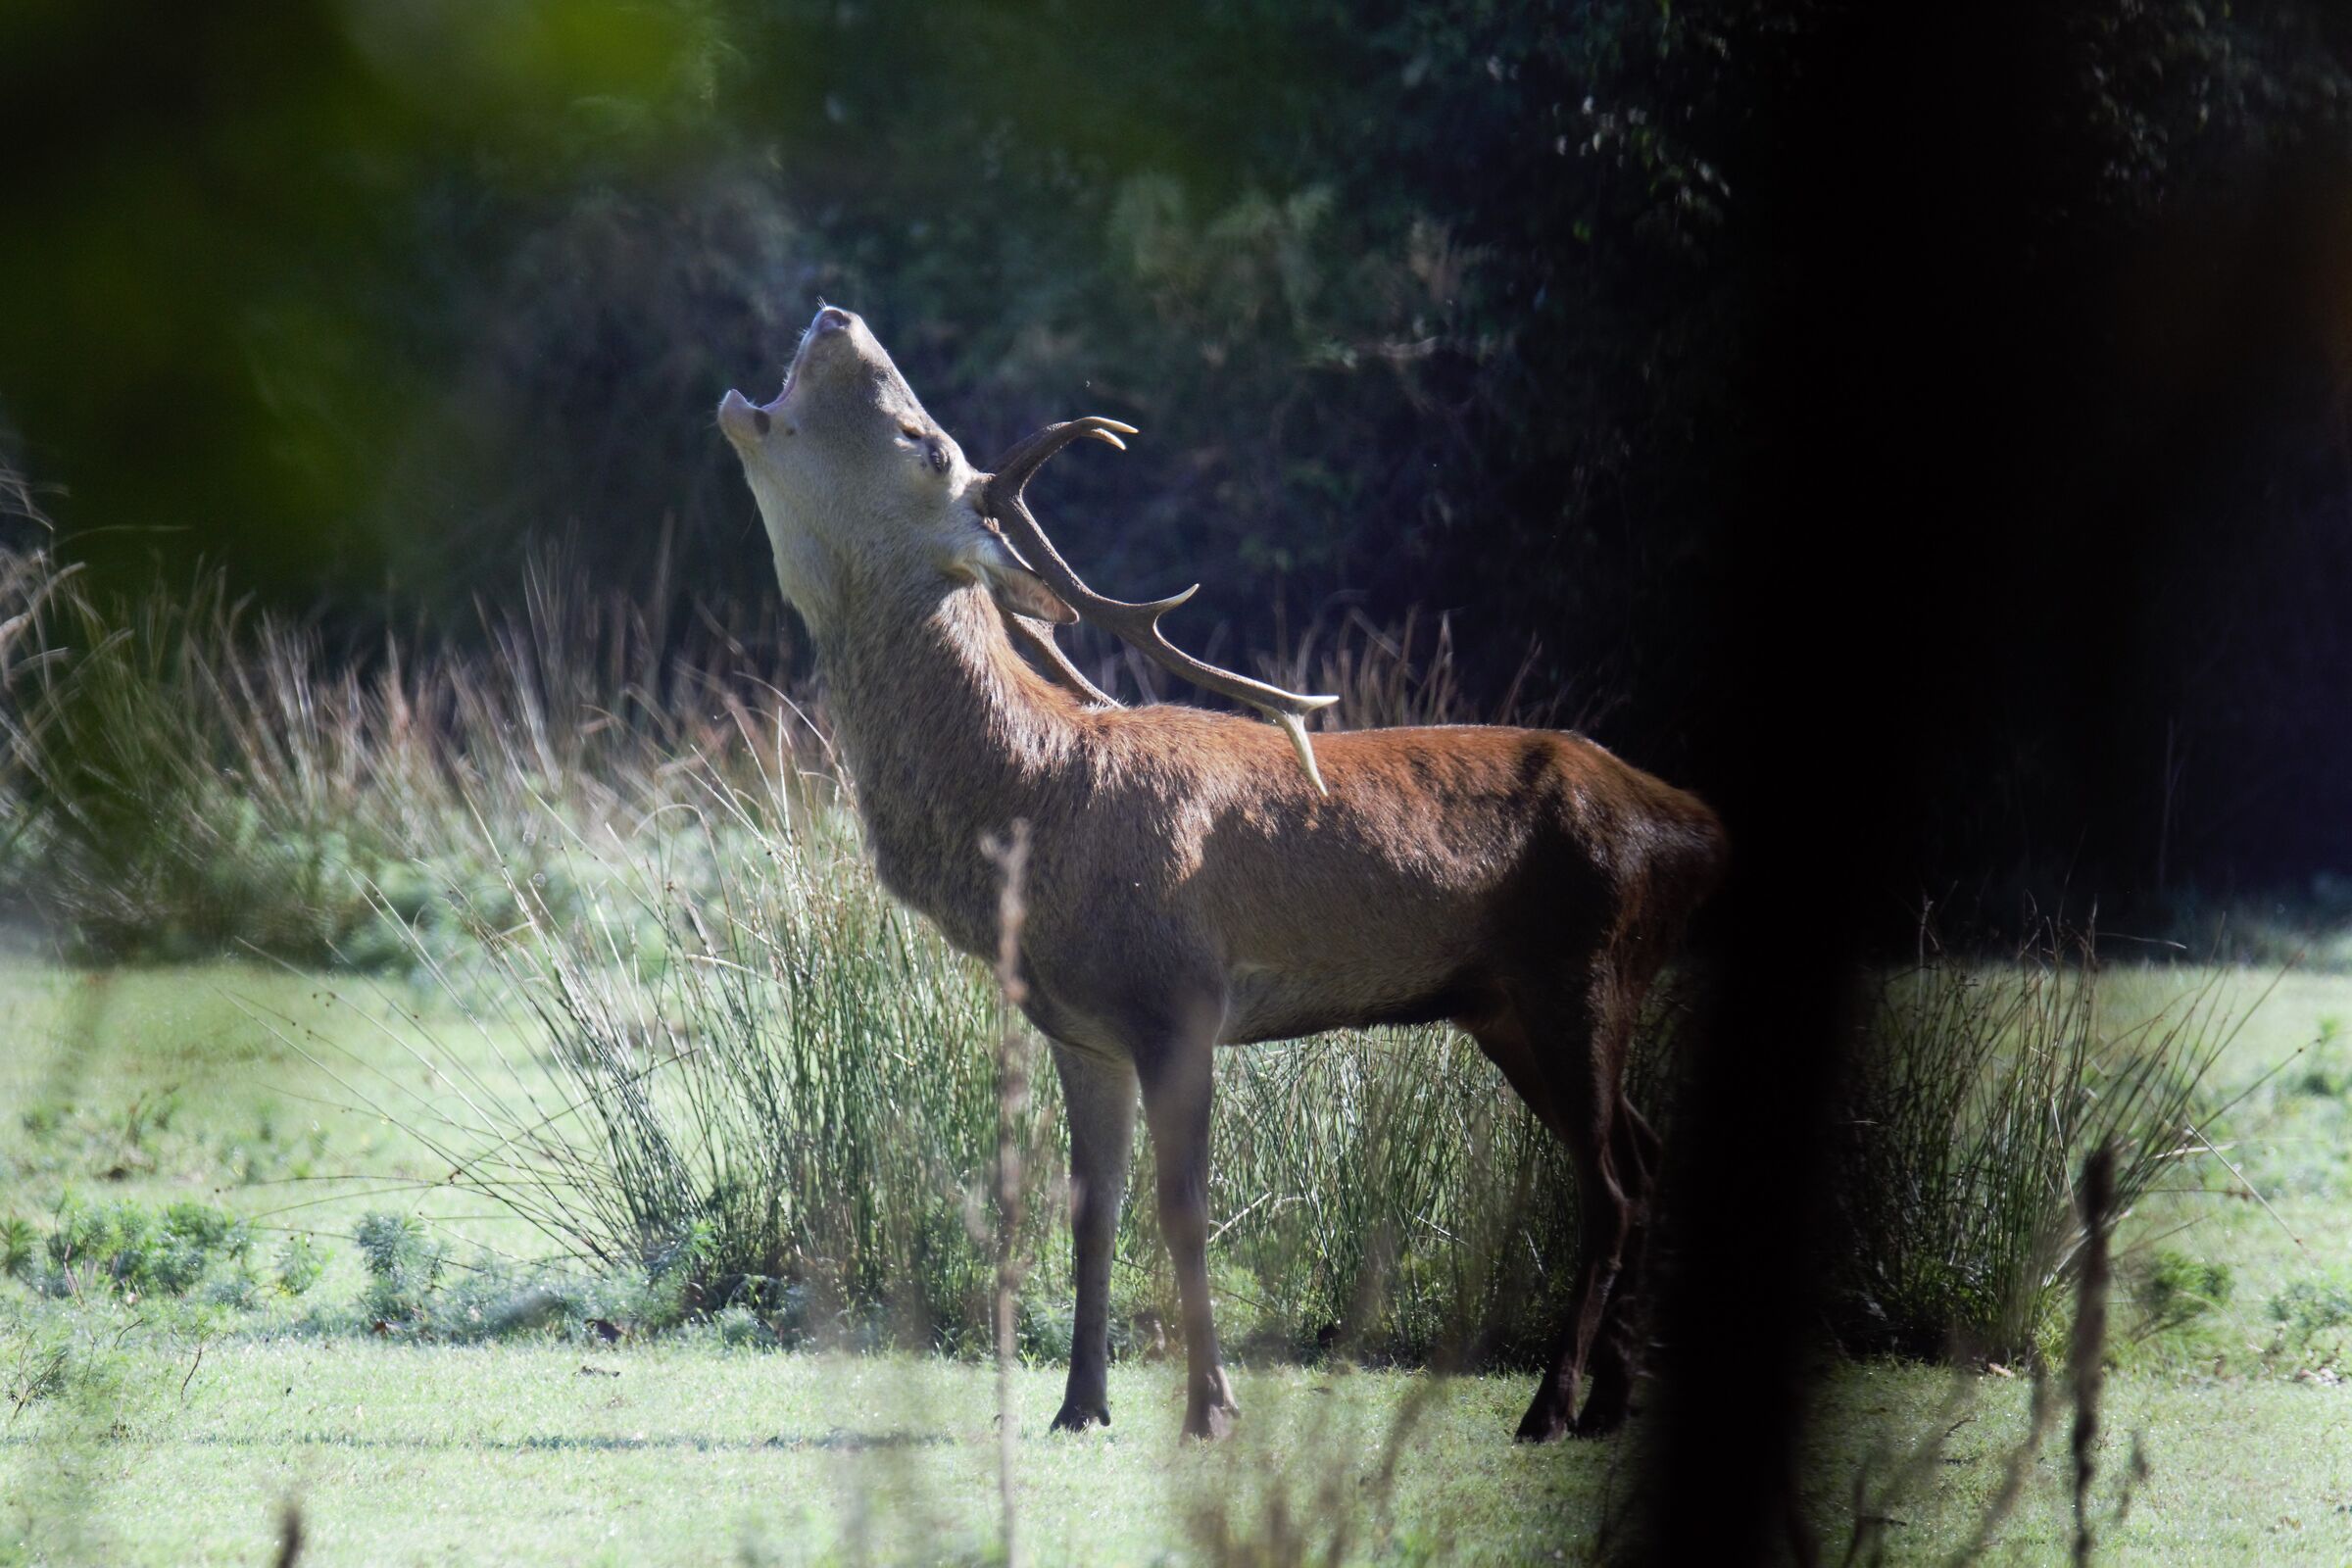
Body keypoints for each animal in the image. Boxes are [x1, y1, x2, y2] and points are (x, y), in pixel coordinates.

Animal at [717, 305, 1725, 1443]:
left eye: (922, 442)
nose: (835, 315)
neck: (1038, 808)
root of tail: (1697, 828)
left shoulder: (1181, 999)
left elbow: (1184, 1208)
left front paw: (1210, 1407)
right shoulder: (1079, 1028)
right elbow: (1092, 1210)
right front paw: (1079, 1405)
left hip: (1583, 969)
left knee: (1611, 1187)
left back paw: (1551, 1406)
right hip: (1510, 1004)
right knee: (1644, 1157)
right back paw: (1610, 1402)